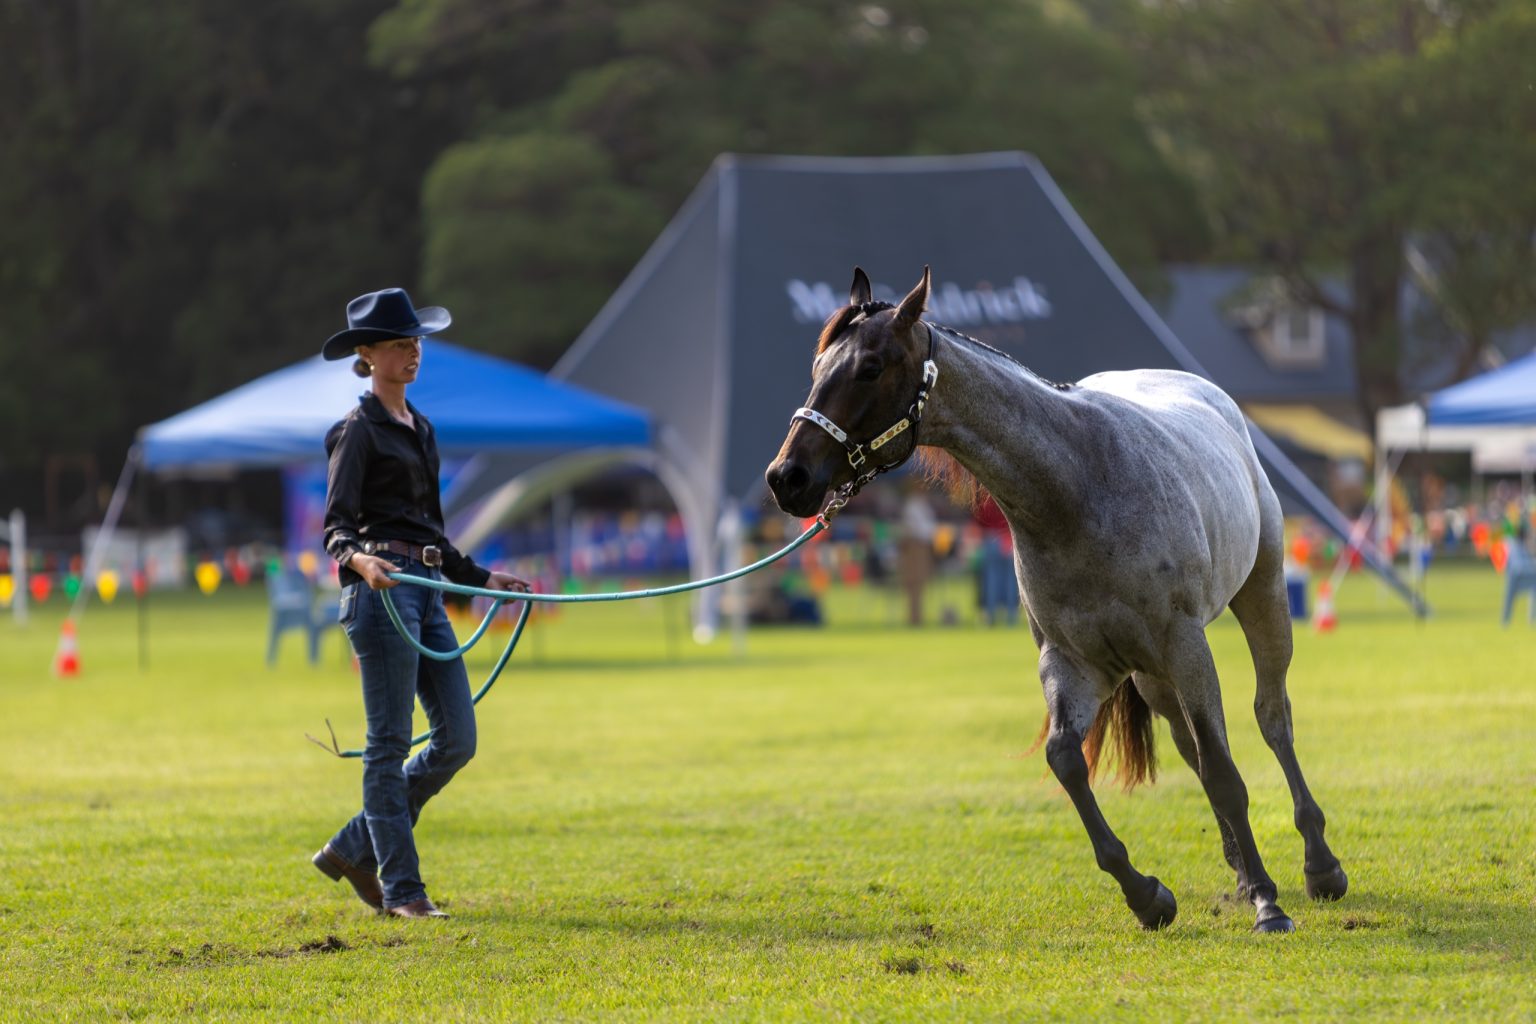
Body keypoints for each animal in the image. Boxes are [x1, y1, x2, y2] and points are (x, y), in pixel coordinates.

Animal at [765, 266, 1348, 933]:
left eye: (869, 366)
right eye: (818, 366)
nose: (787, 477)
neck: (1077, 487)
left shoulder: (1185, 645)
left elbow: (1226, 774)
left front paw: (1268, 904)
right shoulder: (1073, 664)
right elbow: (1068, 759)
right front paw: (1148, 895)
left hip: (1262, 599)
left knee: (1271, 717)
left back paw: (1319, 865)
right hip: (1152, 676)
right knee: (1191, 746)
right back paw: (1241, 866)